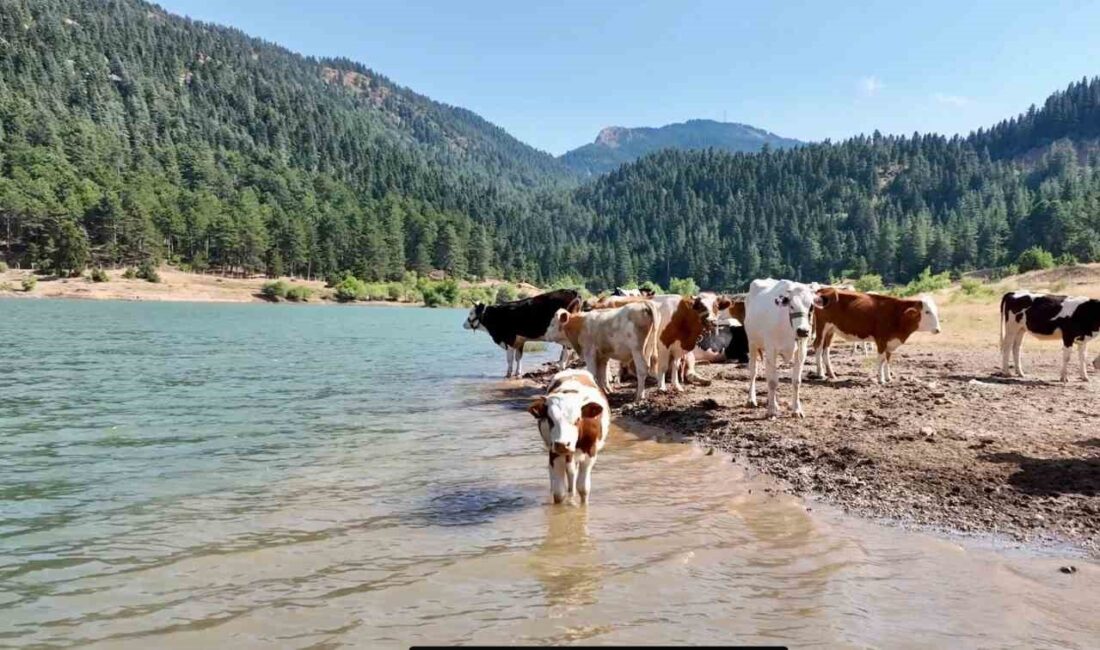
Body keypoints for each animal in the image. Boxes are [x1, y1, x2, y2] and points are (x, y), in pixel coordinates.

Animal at [525, 371, 611, 503]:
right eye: (550, 420)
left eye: (577, 419)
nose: (562, 444)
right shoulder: (554, 453)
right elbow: (559, 492)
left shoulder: (590, 452)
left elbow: (583, 488)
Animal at [743, 278, 822, 420]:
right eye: (791, 305)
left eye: (811, 307)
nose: (803, 331)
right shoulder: (771, 349)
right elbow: (772, 381)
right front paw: (771, 411)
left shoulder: (801, 351)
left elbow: (796, 381)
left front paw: (796, 409)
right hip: (752, 343)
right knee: (753, 371)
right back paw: (751, 400)